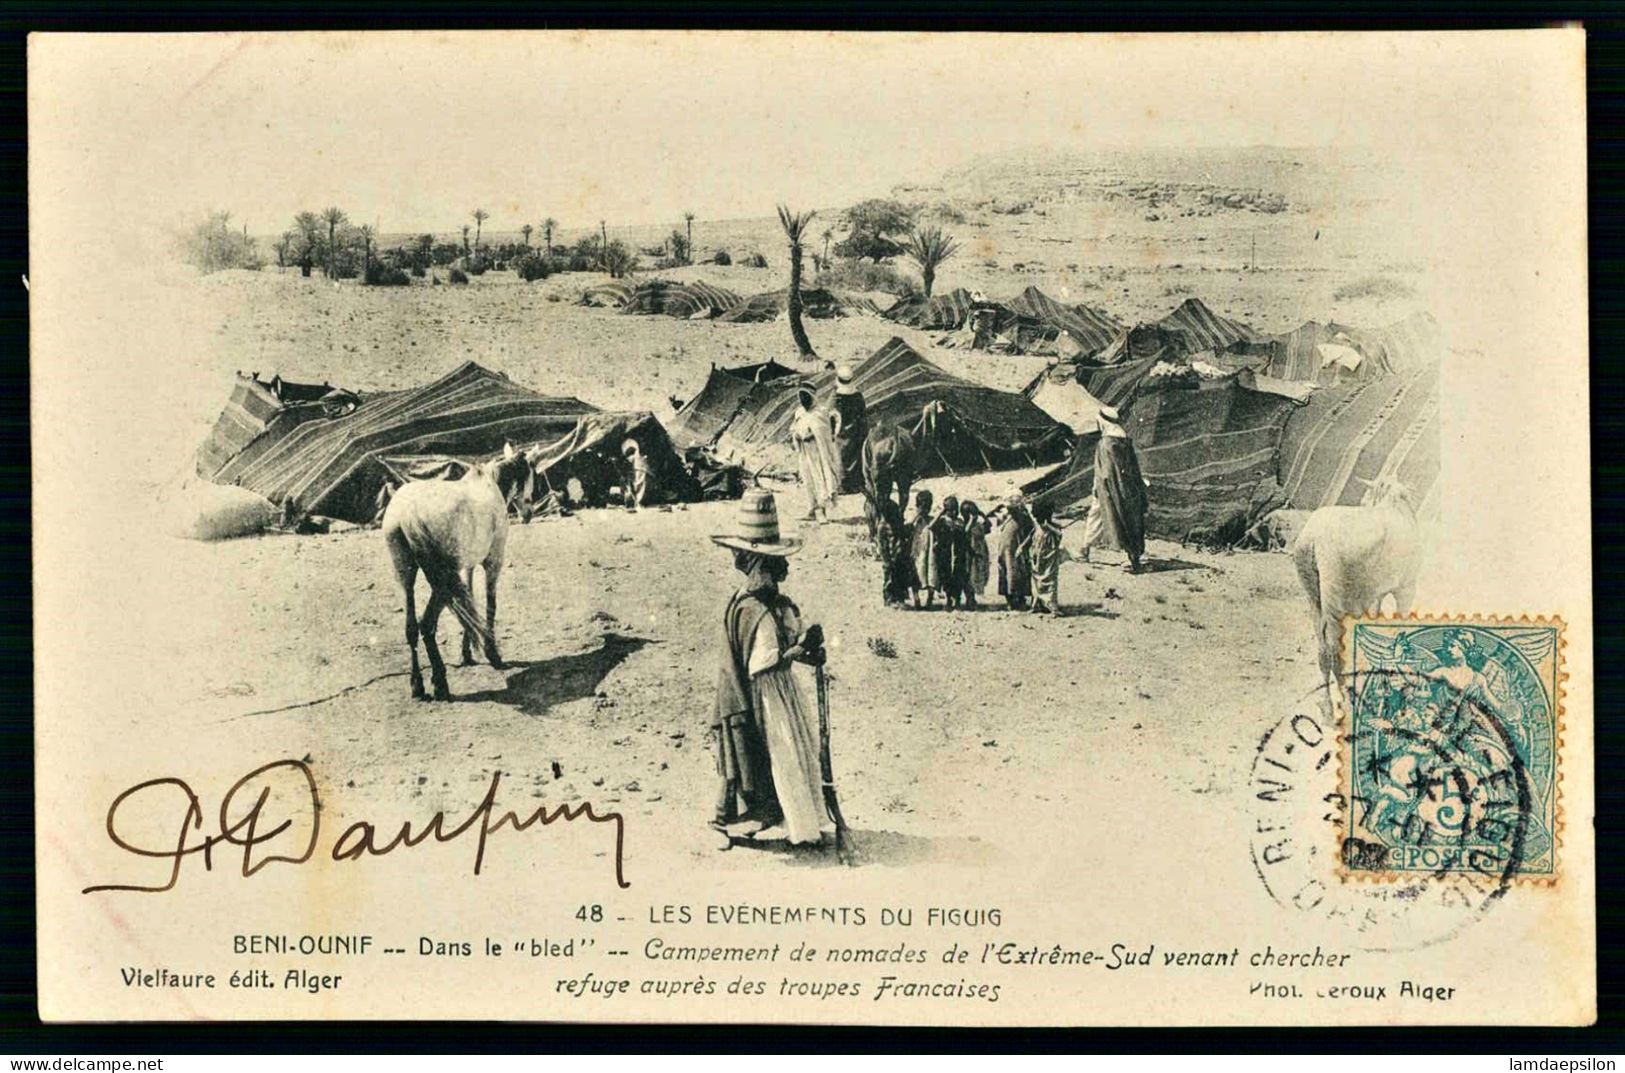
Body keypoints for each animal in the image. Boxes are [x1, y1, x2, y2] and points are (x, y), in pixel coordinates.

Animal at [381, 438, 536, 699]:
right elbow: (490, 603)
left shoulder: (467, 567)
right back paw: (440, 683)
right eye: (532, 472)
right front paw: (492, 653)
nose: (529, 513)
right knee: (427, 624)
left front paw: (467, 654)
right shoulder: (494, 561)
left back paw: (417, 685)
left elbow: (469, 603)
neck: (489, 483)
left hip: (406, 575)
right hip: (441, 579)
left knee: (412, 627)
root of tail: (408, 512)